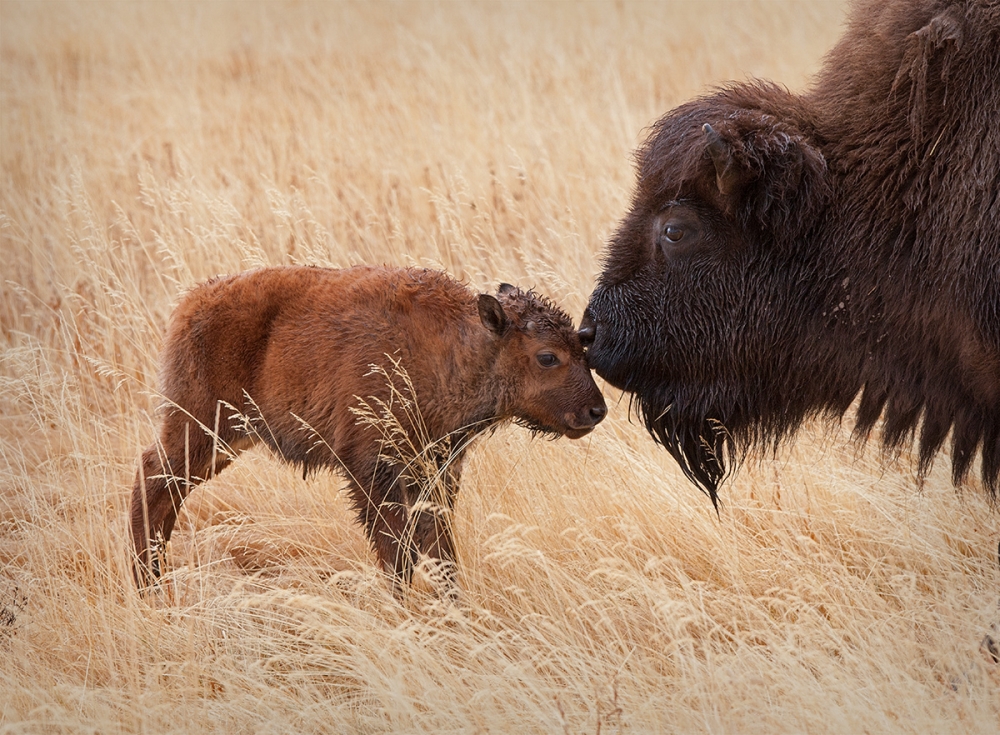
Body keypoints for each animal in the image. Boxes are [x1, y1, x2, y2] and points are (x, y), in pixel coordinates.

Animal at [130, 265, 606, 596]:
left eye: (583, 348)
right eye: (547, 357)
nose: (595, 410)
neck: (454, 350)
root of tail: (191, 304)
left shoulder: (437, 472)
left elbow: (439, 550)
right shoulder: (372, 471)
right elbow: (398, 553)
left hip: (224, 441)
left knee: (165, 492)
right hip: (200, 427)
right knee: (152, 481)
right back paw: (146, 582)